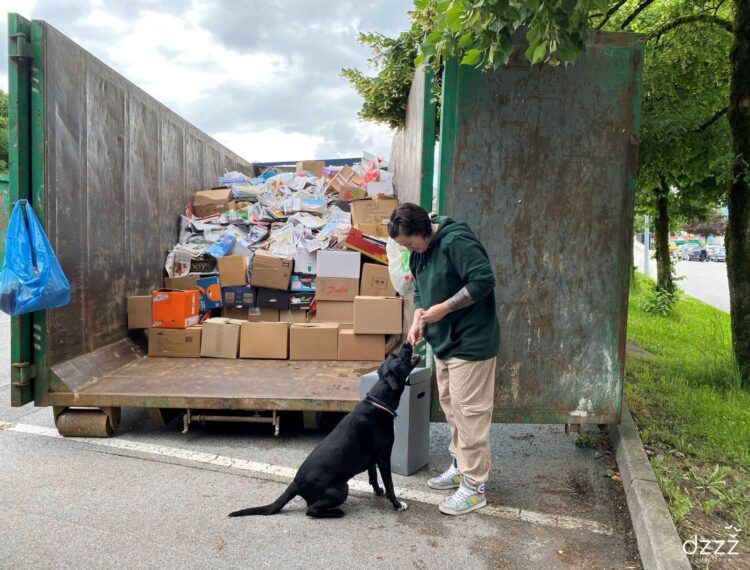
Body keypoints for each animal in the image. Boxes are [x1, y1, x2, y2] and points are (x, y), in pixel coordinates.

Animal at [226, 340, 420, 516]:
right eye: (397, 356)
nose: (407, 341)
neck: (380, 400)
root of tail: (295, 484)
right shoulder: (384, 457)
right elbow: (390, 484)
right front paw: (397, 504)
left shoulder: (372, 458)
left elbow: (373, 477)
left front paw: (378, 492)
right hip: (342, 488)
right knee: (311, 511)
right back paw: (337, 512)